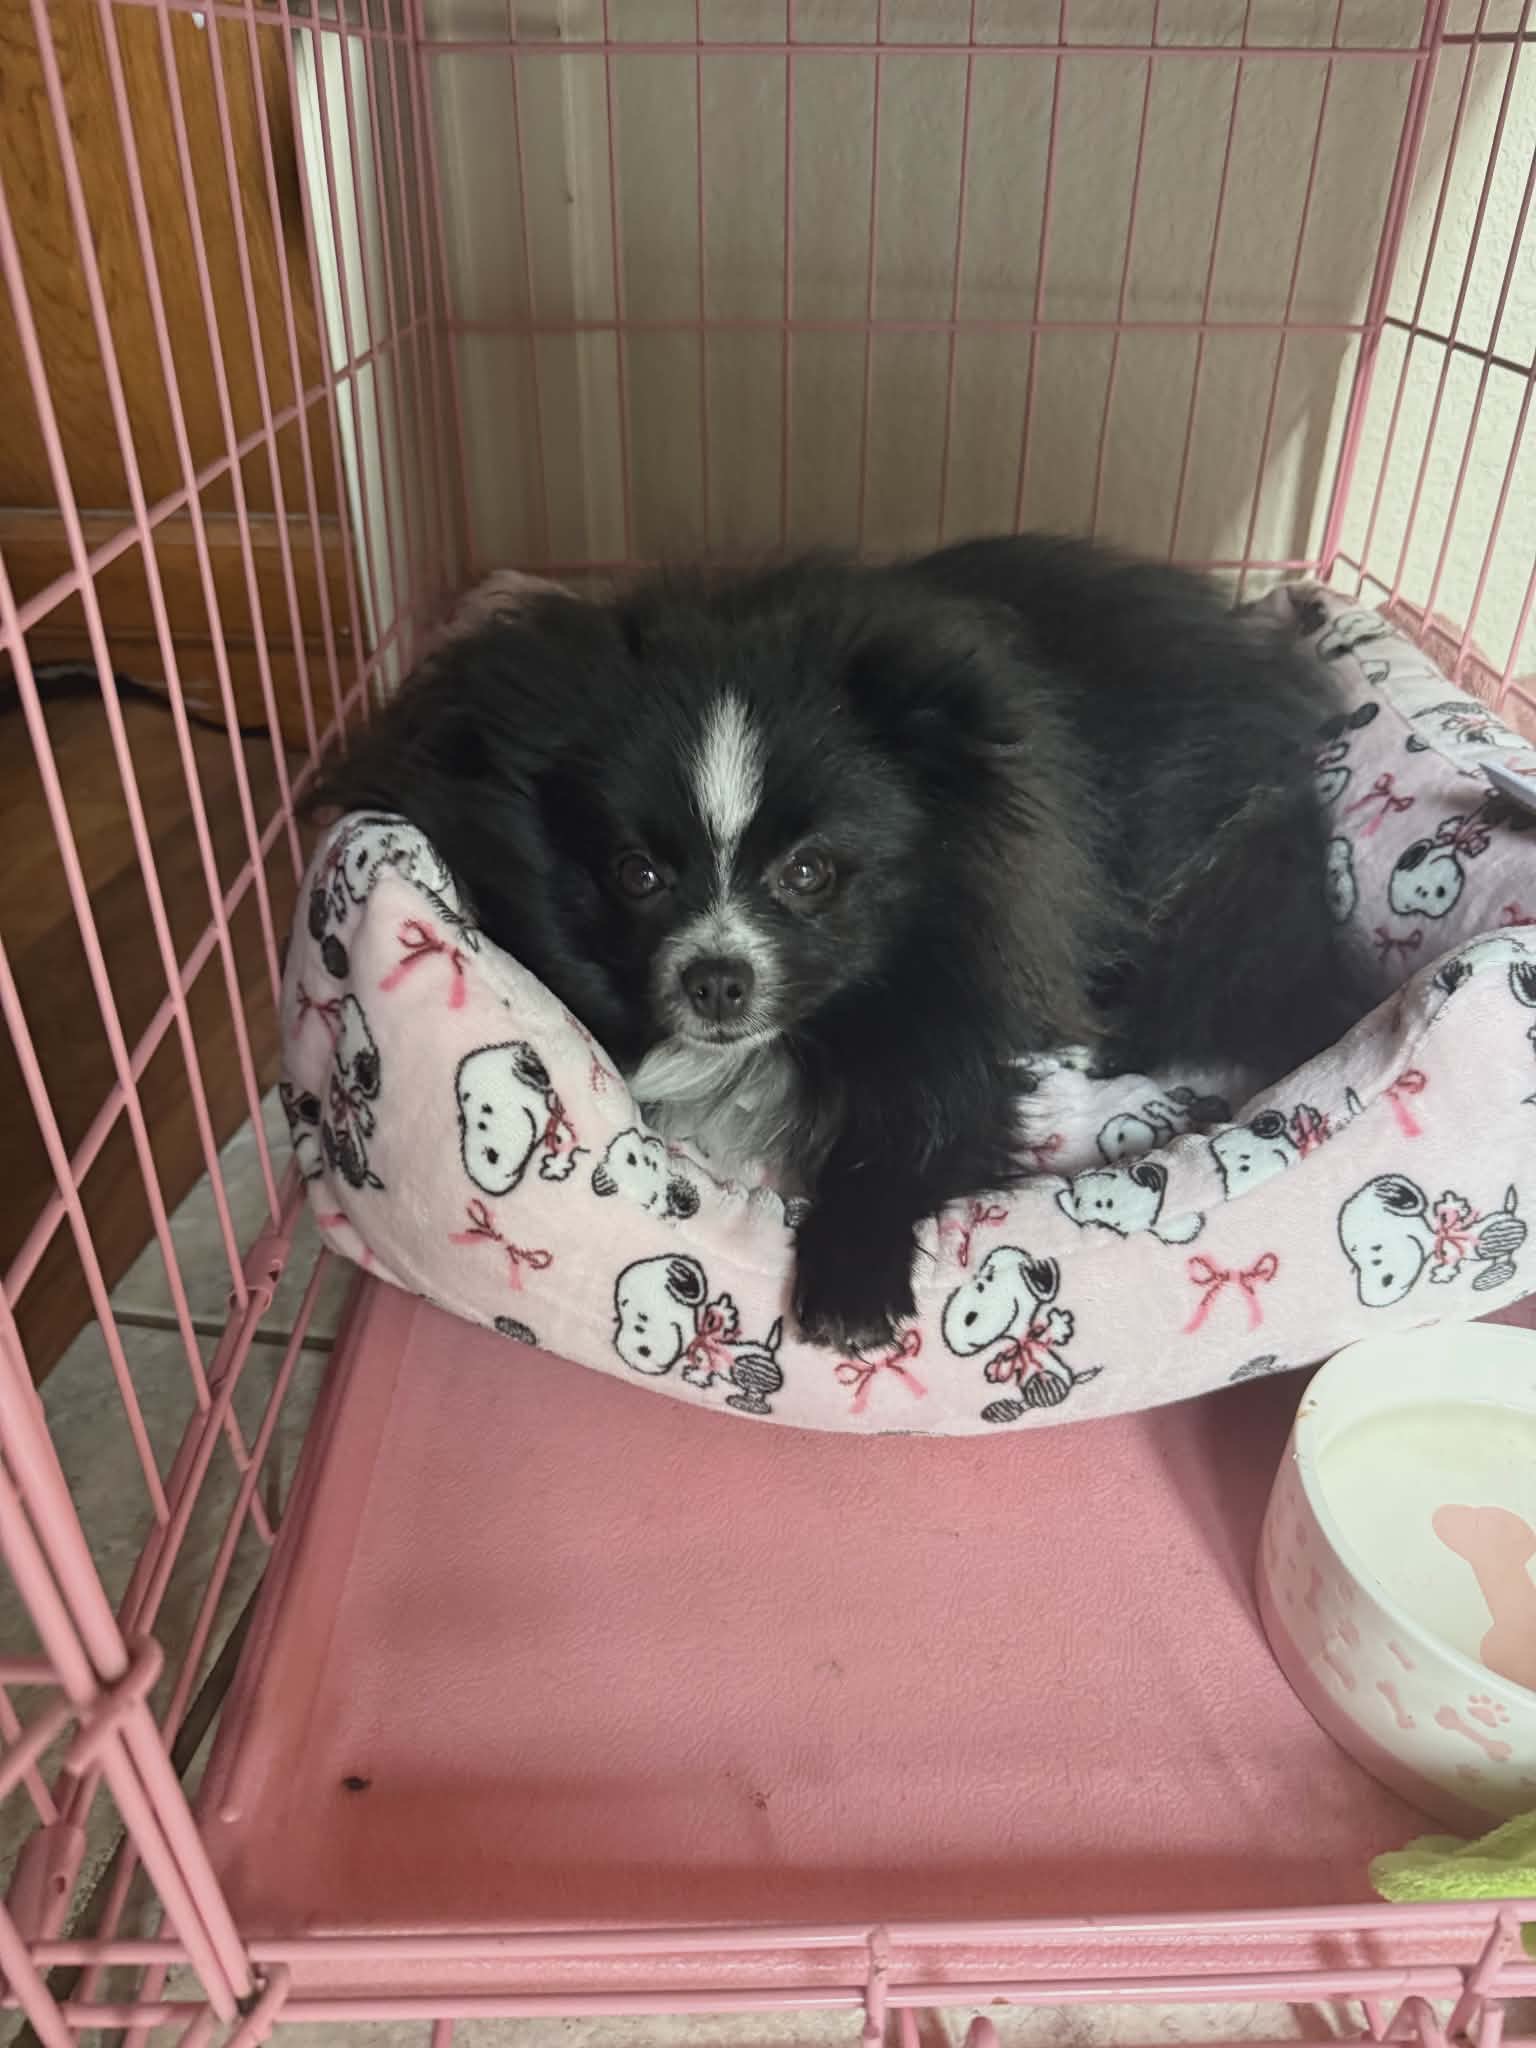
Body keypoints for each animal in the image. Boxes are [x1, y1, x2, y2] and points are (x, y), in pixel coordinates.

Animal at [310, 535, 1375, 1349]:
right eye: (636, 874)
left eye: (811, 872)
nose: (717, 979)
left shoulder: (960, 985)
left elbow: (918, 1120)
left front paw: (852, 1290)